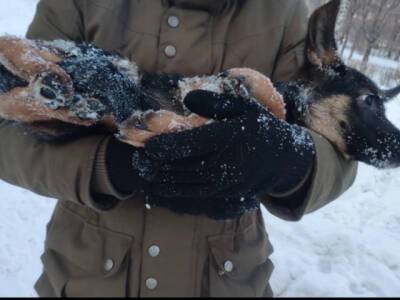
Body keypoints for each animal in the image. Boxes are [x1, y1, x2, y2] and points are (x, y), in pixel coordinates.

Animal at [0, 0, 398, 169]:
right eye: (369, 100)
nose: (398, 150)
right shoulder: (196, 83)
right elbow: (271, 96)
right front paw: (242, 83)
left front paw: (153, 127)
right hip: (91, 55)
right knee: (14, 44)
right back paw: (49, 76)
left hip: (61, 122)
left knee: (18, 101)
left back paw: (56, 91)